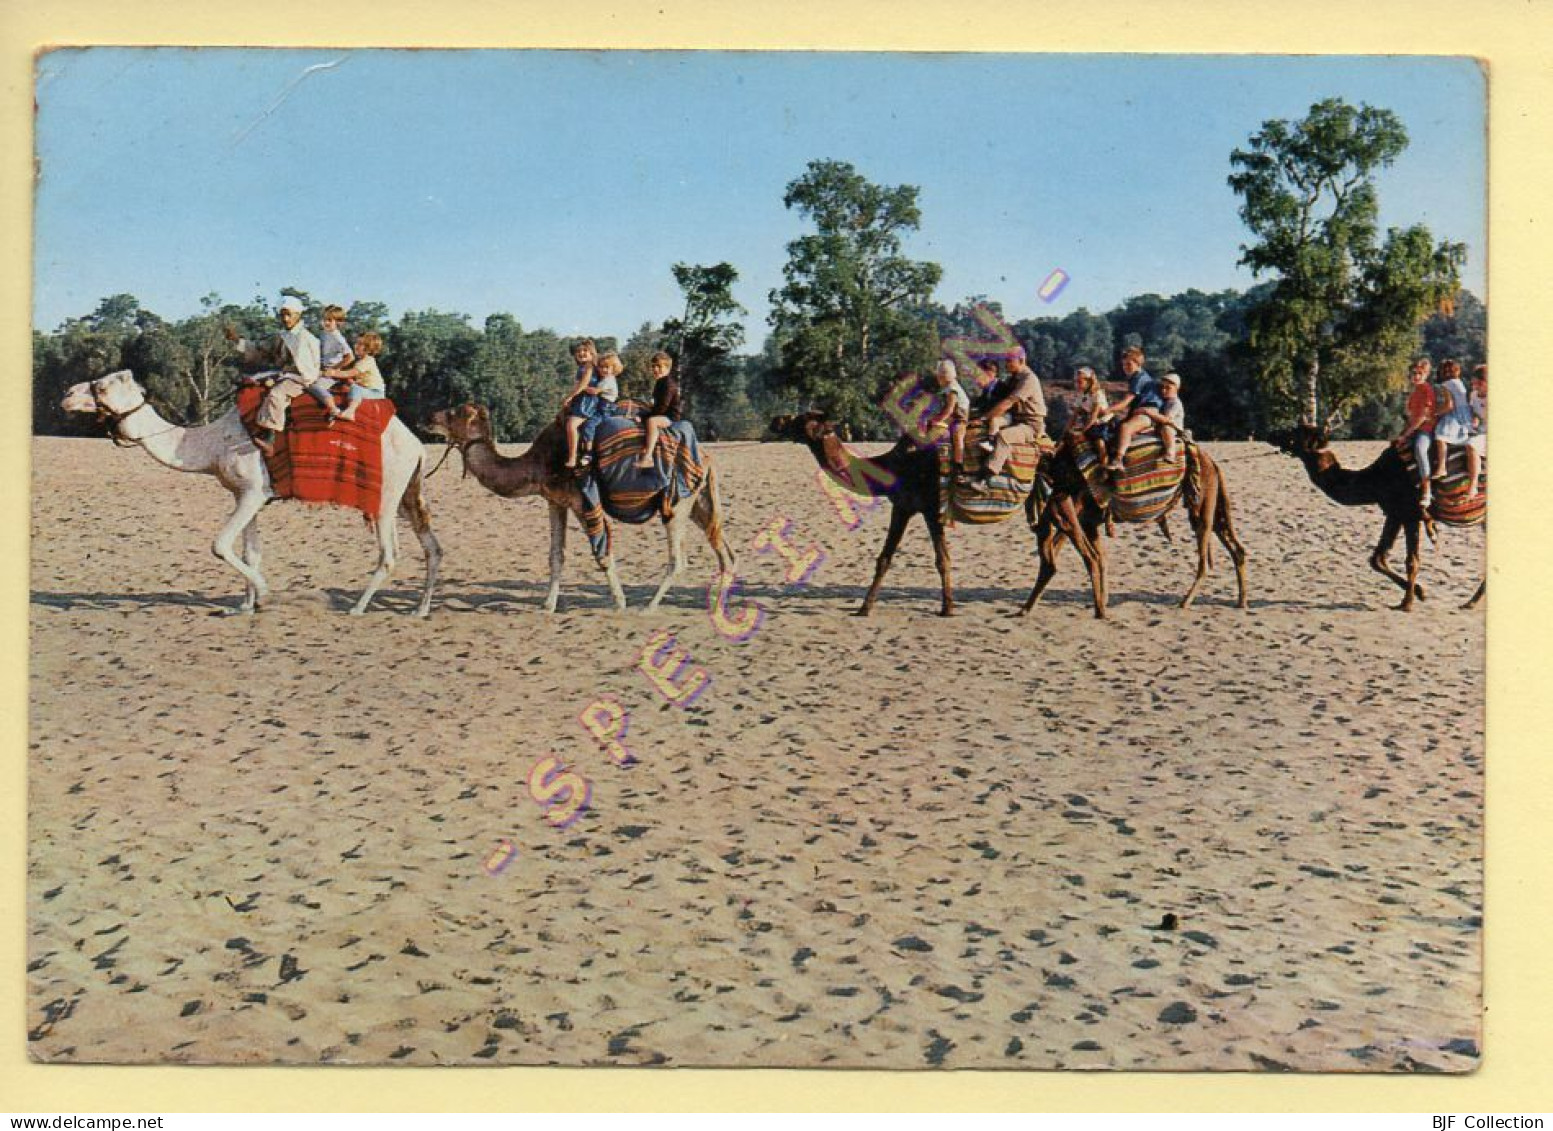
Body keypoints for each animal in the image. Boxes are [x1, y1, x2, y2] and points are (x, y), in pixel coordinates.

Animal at [58, 368, 441, 618]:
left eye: (100, 386)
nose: (66, 394)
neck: (212, 443)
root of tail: (416, 445)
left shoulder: (254, 491)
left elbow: (219, 545)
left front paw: (265, 595)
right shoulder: (246, 495)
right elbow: (250, 552)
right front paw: (245, 605)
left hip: (386, 495)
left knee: (389, 554)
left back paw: (358, 608)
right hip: (408, 492)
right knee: (431, 546)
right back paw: (419, 610)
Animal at [428, 403, 736, 615]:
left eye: (454, 412)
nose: (429, 418)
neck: (538, 463)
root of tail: (706, 458)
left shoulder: (582, 500)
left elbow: (602, 553)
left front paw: (620, 602)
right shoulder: (555, 501)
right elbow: (556, 555)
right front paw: (547, 606)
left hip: (677, 503)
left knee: (678, 559)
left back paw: (649, 607)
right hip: (698, 502)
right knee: (725, 552)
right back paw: (717, 607)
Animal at [1018, 435, 1248, 618]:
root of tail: (1212, 462)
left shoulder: (1067, 513)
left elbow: (1065, 559)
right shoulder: (1087, 520)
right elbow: (1099, 558)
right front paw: (1102, 603)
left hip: (1201, 504)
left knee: (1204, 561)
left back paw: (1185, 602)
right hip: (1212, 504)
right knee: (1237, 548)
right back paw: (1241, 601)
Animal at [1273, 422, 1490, 615]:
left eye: (1295, 433)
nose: (1272, 434)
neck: (1377, 480)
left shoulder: (1410, 513)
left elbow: (1411, 561)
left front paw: (1408, 603)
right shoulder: (1394, 513)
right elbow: (1377, 559)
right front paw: (1419, 592)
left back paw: (1470, 603)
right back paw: (1470, 603)